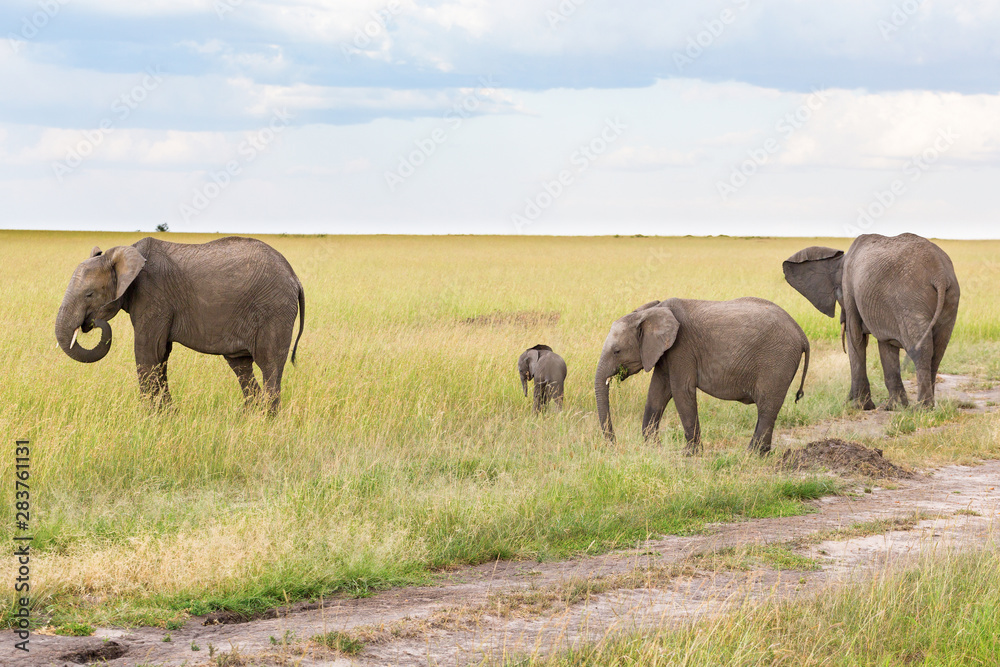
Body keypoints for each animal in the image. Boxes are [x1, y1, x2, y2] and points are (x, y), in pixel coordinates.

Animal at [54, 235, 302, 412]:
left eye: (89, 294)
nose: (91, 323)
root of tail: (295, 277)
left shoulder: (153, 296)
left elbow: (148, 352)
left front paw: (149, 417)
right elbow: (161, 355)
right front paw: (168, 414)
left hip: (274, 310)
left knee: (269, 365)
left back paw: (267, 419)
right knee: (242, 367)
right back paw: (251, 415)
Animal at [596, 300, 808, 456]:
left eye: (617, 351)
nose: (614, 445)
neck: (651, 312)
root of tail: (801, 333)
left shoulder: (681, 348)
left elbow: (681, 391)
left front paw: (689, 453)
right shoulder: (664, 353)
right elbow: (657, 393)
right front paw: (653, 448)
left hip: (777, 361)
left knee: (767, 406)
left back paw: (751, 455)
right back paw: (760, 454)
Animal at [784, 232, 956, 410]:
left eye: (839, 294)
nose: (845, 402)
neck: (842, 260)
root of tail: (939, 274)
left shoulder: (850, 291)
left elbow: (856, 338)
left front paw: (860, 407)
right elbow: (886, 346)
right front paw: (894, 407)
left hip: (910, 300)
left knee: (921, 350)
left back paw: (922, 408)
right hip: (949, 298)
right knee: (938, 351)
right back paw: (929, 407)